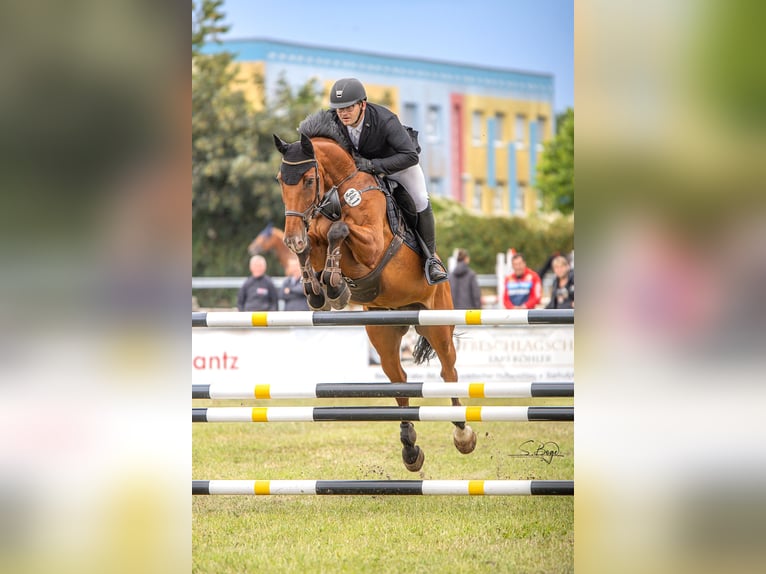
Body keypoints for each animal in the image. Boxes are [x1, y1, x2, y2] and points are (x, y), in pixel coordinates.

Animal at [273, 110, 476, 472]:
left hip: (437, 322)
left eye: (308, 181)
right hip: (383, 332)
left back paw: (463, 434)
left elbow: (337, 229)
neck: (337, 191)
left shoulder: (373, 247)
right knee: (399, 380)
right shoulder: (316, 239)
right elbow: (315, 242)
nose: (291, 237)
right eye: (281, 181)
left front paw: (333, 284)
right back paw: (410, 449)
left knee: (448, 370)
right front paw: (320, 289)